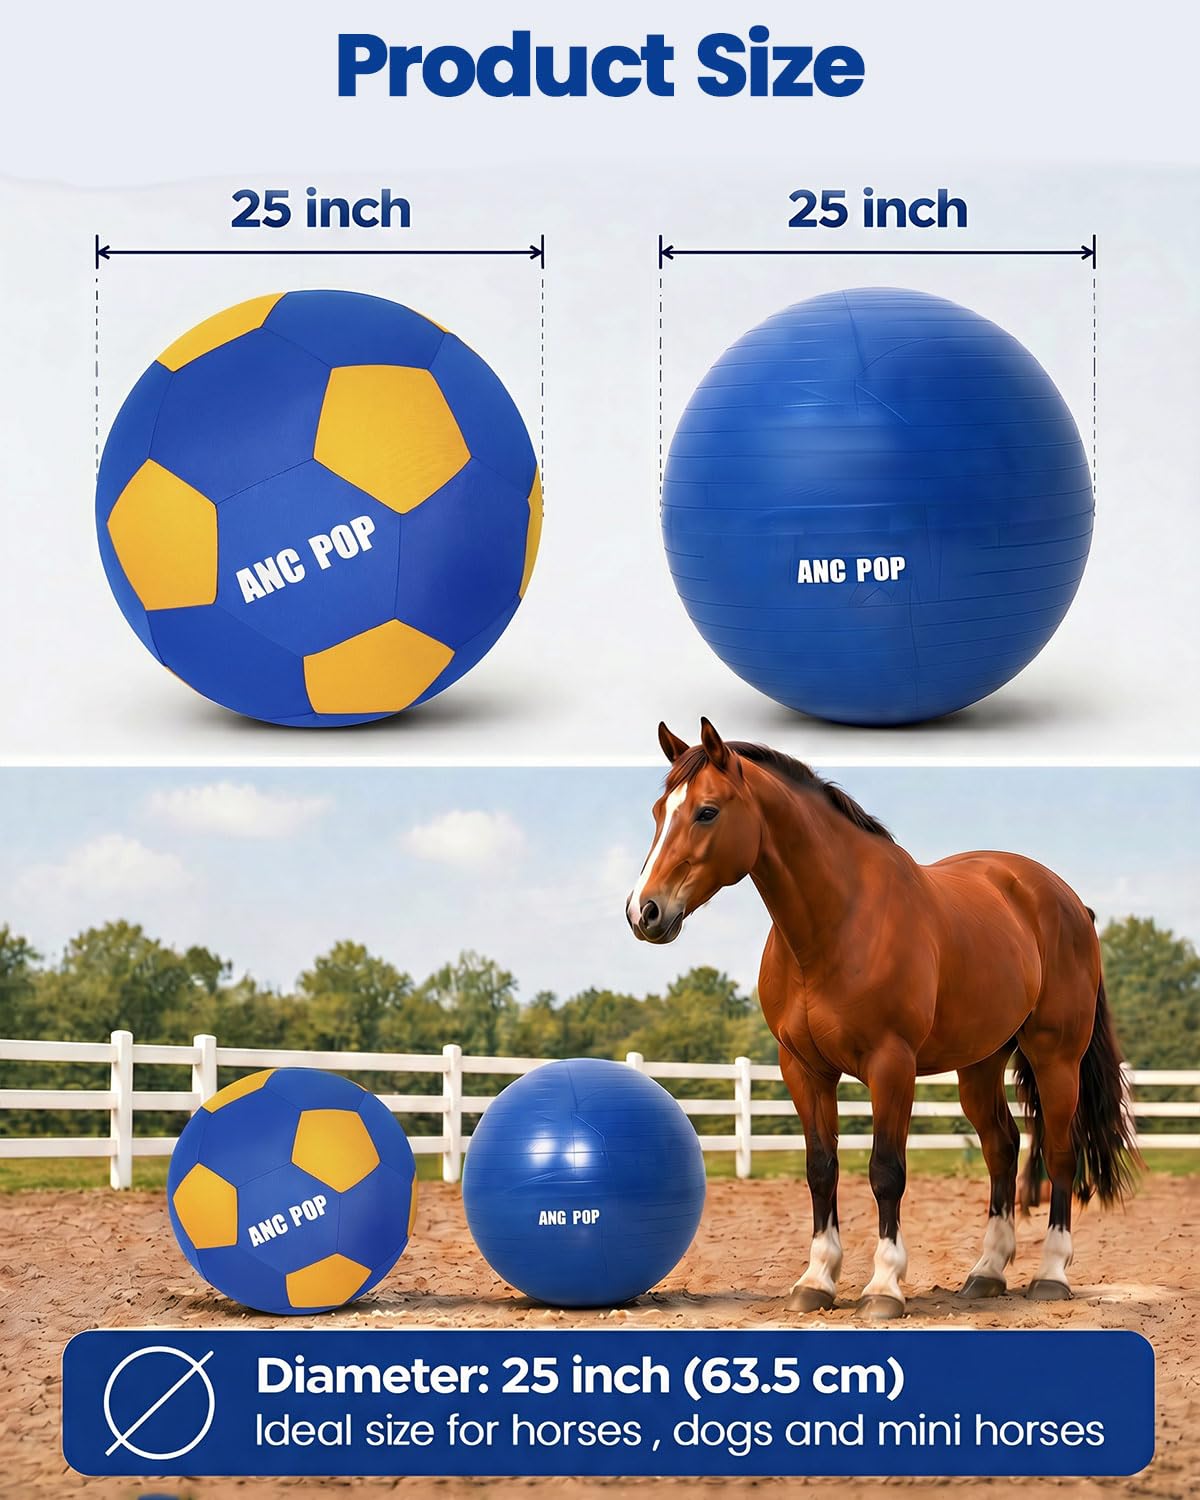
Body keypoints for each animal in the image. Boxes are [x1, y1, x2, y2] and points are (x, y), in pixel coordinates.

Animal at [626, 719, 1137, 1320]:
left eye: (706, 812)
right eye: (658, 812)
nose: (644, 911)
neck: (838, 923)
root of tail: (1067, 901)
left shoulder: (891, 1066)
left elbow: (886, 1171)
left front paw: (884, 1287)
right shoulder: (803, 1069)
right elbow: (821, 1168)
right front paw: (816, 1280)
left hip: (1056, 1057)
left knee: (1058, 1153)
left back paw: (1052, 1274)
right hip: (981, 1063)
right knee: (1003, 1148)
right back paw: (987, 1272)